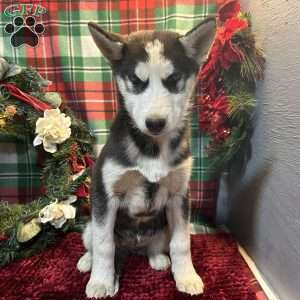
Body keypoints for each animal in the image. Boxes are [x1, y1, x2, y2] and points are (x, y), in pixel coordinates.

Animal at [77, 18, 216, 298]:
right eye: (135, 80)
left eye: (173, 79)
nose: (155, 123)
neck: (152, 147)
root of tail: (132, 247)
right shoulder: (105, 195)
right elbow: (104, 245)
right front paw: (101, 282)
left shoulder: (179, 195)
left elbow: (182, 243)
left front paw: (187, 276)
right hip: (90, 225)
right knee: (95, 244)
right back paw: (88, 262)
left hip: (162, 227)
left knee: (157, 245)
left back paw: (157, 258)